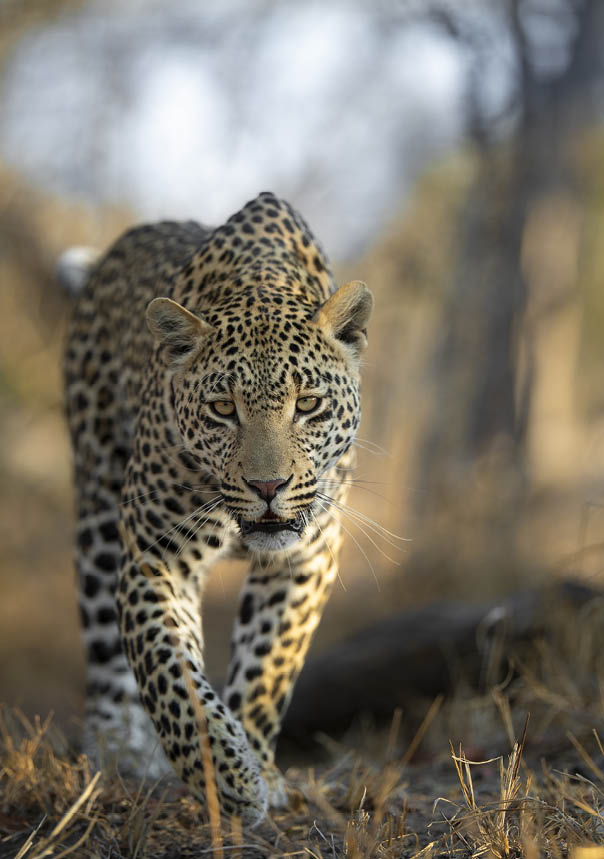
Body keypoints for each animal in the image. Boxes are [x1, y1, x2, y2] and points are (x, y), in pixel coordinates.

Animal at [63, 191, 373, 826]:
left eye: (308, 404)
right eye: (222, 409)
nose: (268, 485)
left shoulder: (305, 559)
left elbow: (267, 666)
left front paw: (260, 767)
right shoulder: (155, 558)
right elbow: (171, 675)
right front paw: (229, 777)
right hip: (98, 509)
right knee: (105, 651)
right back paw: (118, 749)